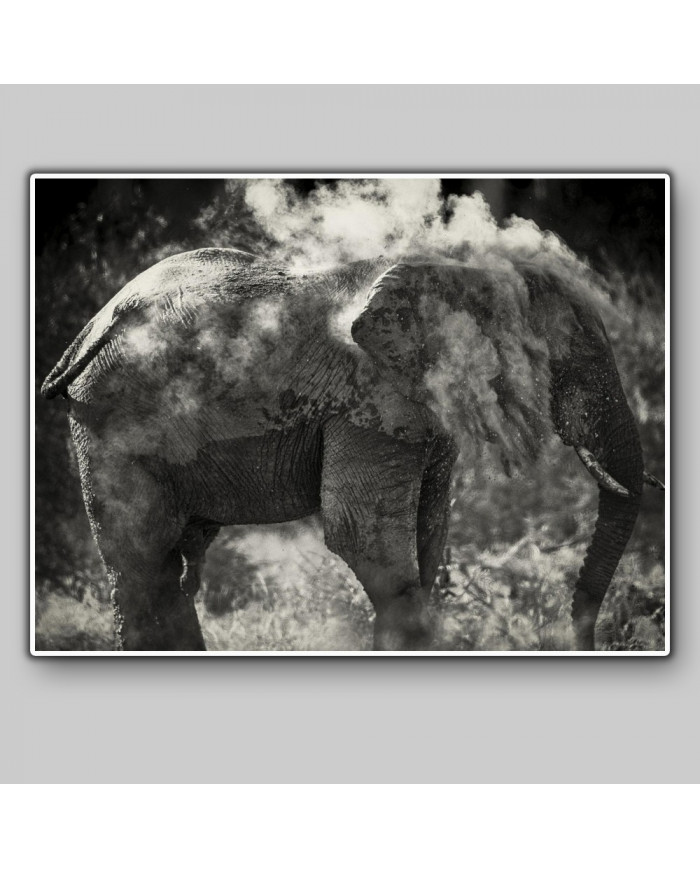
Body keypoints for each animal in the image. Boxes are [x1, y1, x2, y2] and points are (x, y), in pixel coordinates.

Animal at [41, 247, 663, 652]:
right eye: (570, 362)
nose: (579, 639)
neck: (460, 273)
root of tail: (91, 327)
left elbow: (428, 536)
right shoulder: (370, 397)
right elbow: (364, 539)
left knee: (166, 568)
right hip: (110, 418)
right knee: (144, 565)